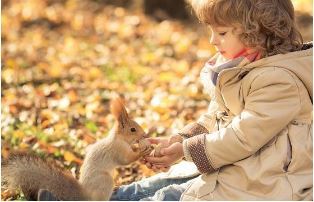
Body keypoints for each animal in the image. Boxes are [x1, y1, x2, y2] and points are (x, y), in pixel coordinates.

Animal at [1, 98, 154, 200]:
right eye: (133, 129)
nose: (145, 135)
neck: (119, 139)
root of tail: (85, 195)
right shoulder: (117, 150)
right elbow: (126, 160)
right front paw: (142, 151)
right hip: (105, 181)